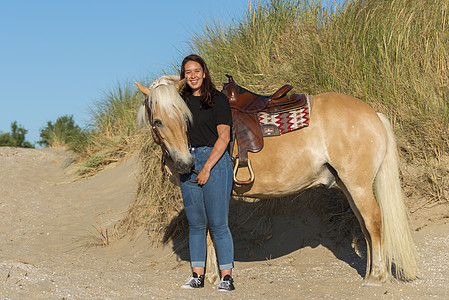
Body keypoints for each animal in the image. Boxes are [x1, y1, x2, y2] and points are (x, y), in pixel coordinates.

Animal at [135, 74, 418, 286]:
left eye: (185, 118)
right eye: (157, 121)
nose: (185, 164)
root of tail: (373, 113)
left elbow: (209, 231)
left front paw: (213, 277)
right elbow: (209, 233)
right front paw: (213, 277)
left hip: (358, 185)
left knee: (374, 221)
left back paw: (377, 277)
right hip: (348, 185)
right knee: (365, 226)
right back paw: (370, 273)